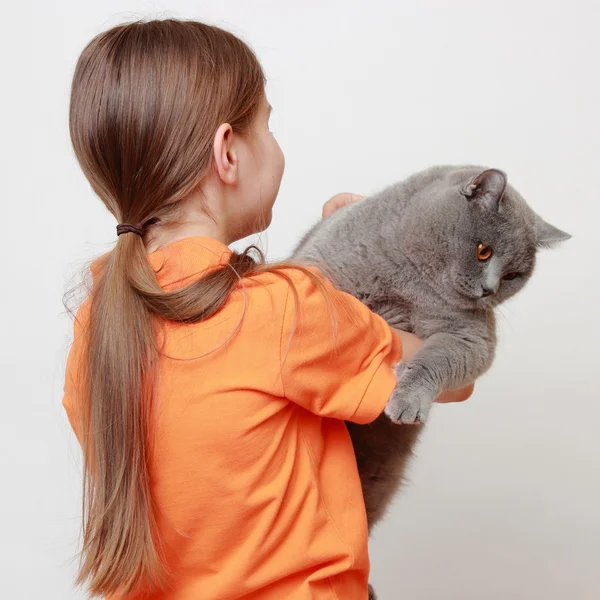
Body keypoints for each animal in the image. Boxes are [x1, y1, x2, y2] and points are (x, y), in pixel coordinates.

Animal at [292, 165, 568, 540]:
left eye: (513, 275)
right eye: (483, 251)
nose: (489, 290)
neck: (415, 283)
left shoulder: (471, 337)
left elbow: (434, 361)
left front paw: (408, 398)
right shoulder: (319, 267)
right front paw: (386, 313)